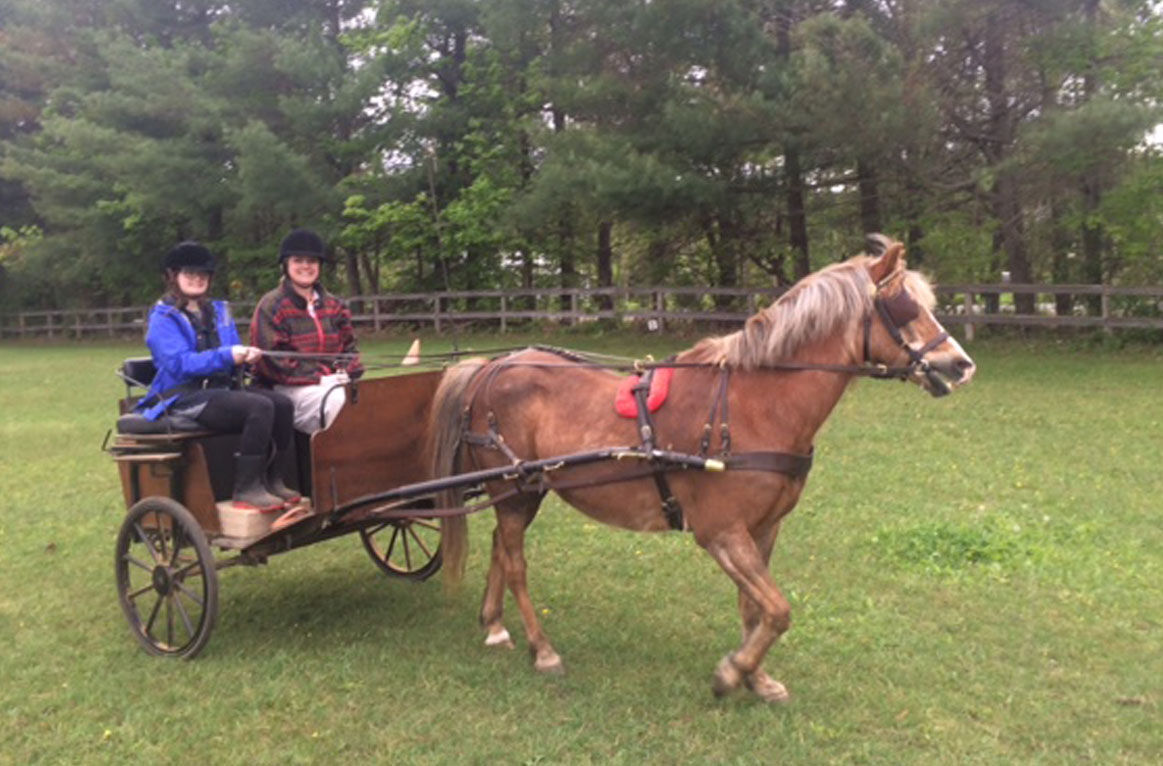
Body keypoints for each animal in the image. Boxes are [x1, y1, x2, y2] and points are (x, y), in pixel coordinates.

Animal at [425, 237, 972, 702]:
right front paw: (732, 673)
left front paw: (757, 678)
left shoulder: (763, 528)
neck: (755, 405)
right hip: (515, 489)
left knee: (500, 546)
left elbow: (755, 609)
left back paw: (495, 625)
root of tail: (494, 366)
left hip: (525, 490)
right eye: (905, 308)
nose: (961, 365)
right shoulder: (720, 531)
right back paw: (543, 650)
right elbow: (778, 610)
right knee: (516, 561)